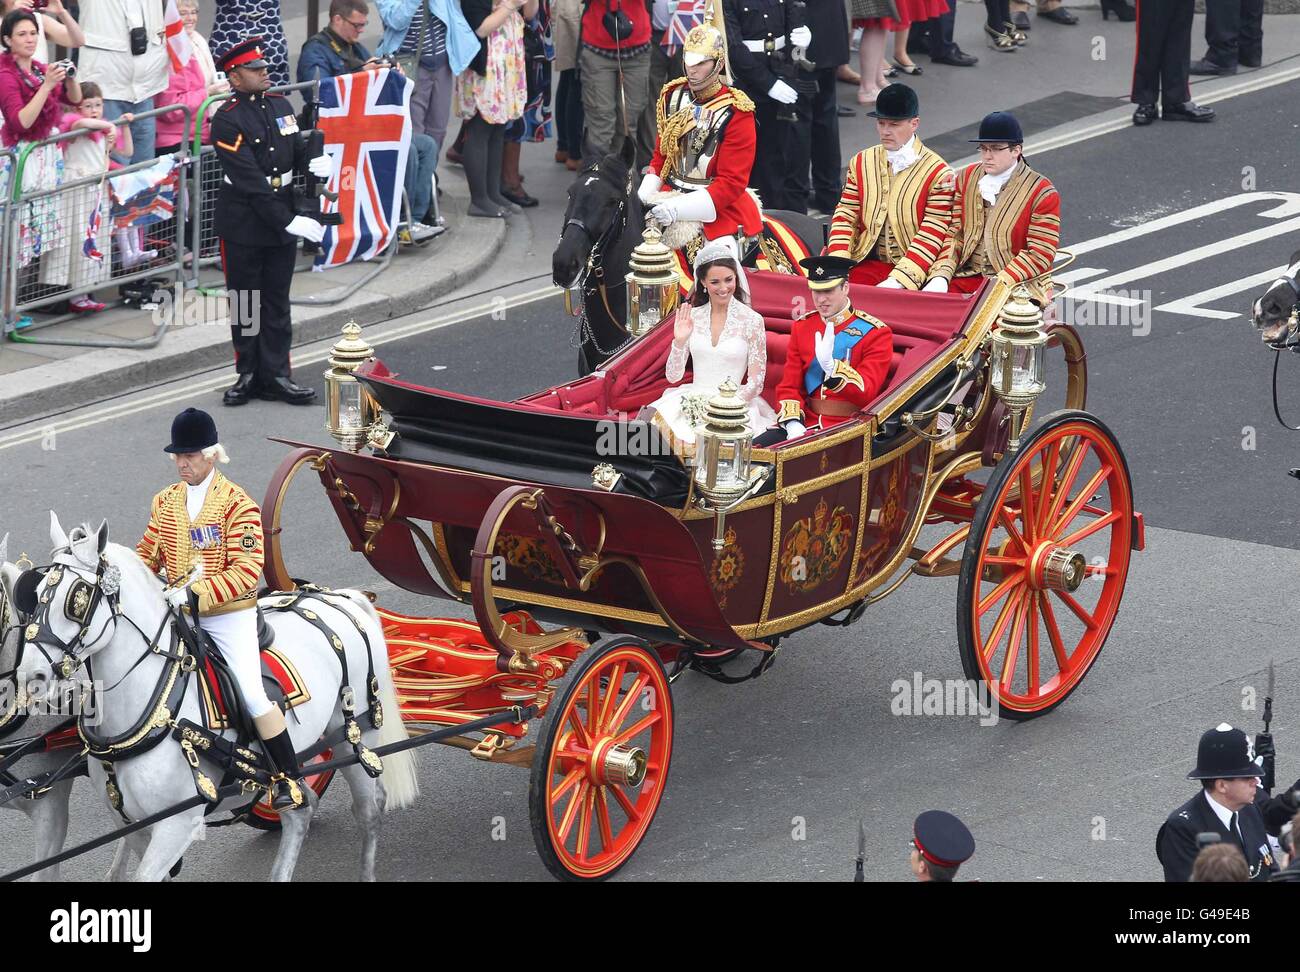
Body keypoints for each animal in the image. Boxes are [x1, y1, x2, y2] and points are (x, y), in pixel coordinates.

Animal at [19, 517, 416, 878]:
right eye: (35, 596)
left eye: (77, 599)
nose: (30, 676)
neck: (157, 710)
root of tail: (338, 598)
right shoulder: (134, 826)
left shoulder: (177, 824)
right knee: (301, 809)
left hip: (353, 737)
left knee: (368, 808)